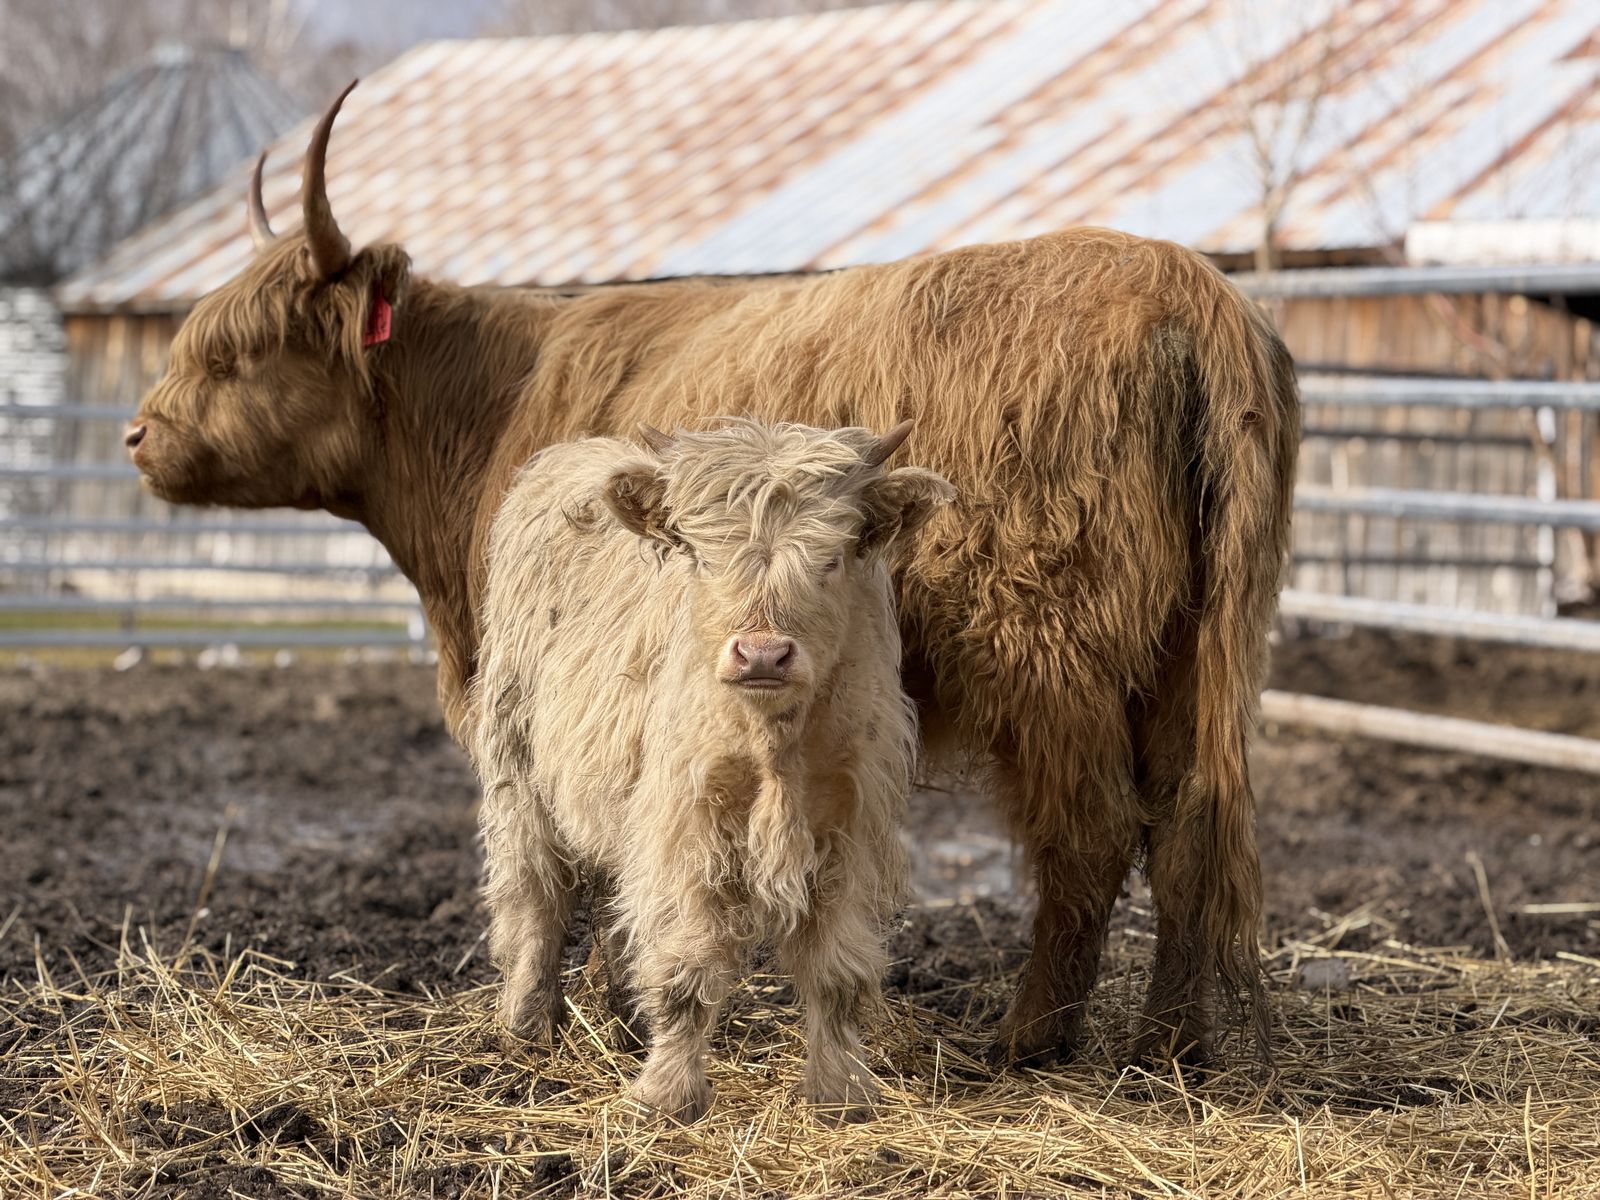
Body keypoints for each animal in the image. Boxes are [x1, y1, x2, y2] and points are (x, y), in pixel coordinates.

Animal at [471, 419, 951, 1121]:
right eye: (701, 557)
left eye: (831, 559)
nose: (763, 654)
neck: (774, 745)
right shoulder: (687, 827)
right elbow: (686, 967)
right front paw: (667, 1095)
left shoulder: (846, 829)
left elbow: (837, 972)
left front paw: (840, 1093)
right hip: (516, 766)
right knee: (536, 896)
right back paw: (527, 1029)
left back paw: (621, 1025)